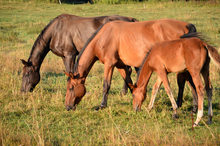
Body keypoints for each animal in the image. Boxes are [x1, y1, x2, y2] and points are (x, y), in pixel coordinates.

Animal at [63, 19, 198, 110]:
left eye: (71, 88)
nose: (68, 107)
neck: (103, 37)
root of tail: (186, 25)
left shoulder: (109, 64)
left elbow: (106, 85)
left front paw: (102, 105)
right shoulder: (120, 65)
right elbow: (129, 81)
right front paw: (137, 98)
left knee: (186, 81)